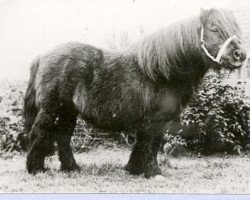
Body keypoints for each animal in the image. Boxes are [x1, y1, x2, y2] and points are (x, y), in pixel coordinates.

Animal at [23, 8, 246, 178]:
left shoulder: (149, 121)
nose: (240, 55)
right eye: (215, 28)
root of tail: (42, 56)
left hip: (68, 111)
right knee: (40, 132)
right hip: (52, 109)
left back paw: (71, 168)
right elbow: (153, 145)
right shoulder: (157, 120)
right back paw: (36, 169)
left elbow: (143, 144)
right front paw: (153, 172)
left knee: (62, 137)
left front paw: (135, 169)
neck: (163, 71)